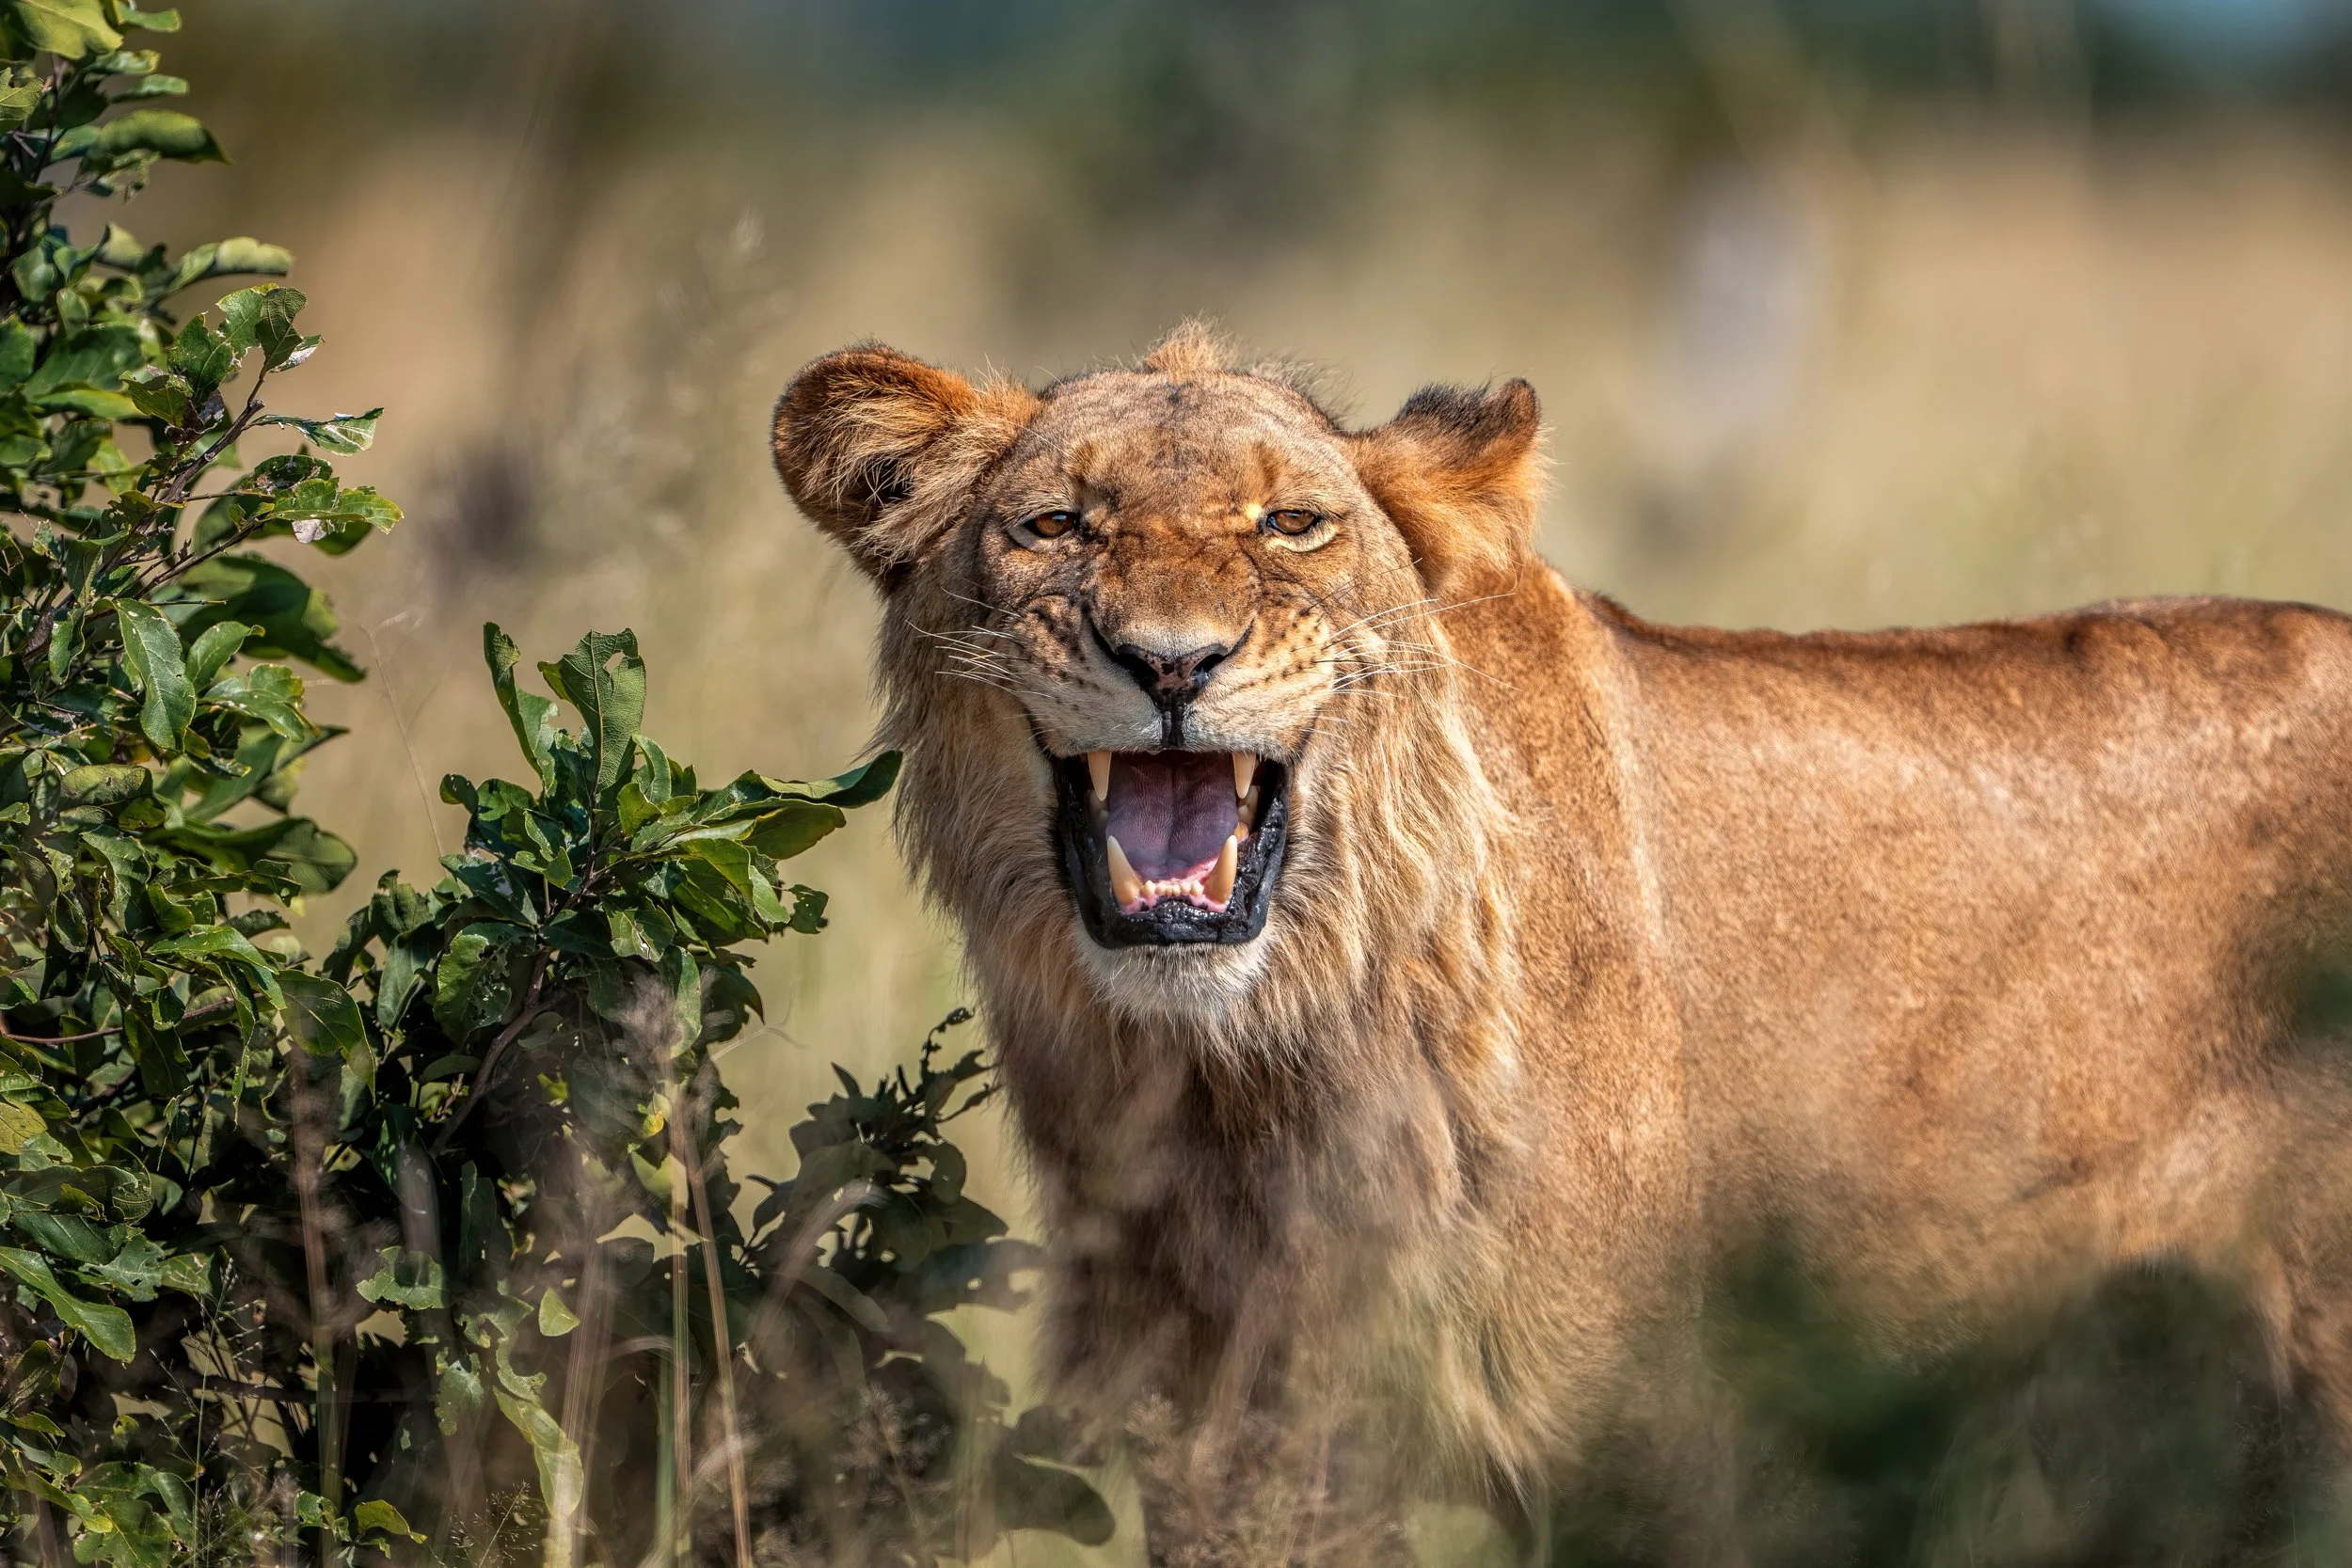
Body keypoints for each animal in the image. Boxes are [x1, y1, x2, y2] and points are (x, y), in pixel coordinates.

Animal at [772, 323, 2352, 1561]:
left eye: (1292, 524)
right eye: (1054, 526)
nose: (1170, 662)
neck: (1250, 1063)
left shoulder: (1654, 1439)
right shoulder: (1238, 1436)